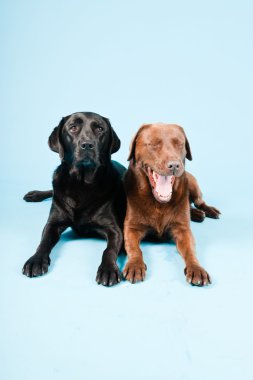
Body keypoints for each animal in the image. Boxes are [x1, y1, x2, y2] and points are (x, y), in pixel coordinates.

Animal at [22, 111, 126, 286]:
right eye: (73, 127)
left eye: (100, 129)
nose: (87, 145)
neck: (82, 184)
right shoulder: (53, 223)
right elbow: (43, 242)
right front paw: (35, 260)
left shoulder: (115, 230)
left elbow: (109, 250)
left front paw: (108, 269)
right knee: (52, 191)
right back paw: (34, 194)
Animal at [122, 123, 219, 286]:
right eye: (153, 144)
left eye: (179, 144)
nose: (174, 165)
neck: (158, 203)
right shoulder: (131, 228)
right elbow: (134, 248)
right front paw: (135, 265)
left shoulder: (183, 230)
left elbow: (190, 250)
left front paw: (196, 269)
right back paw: (197, 214)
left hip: (192, 183)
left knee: (199, 201)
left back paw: (208, 211)